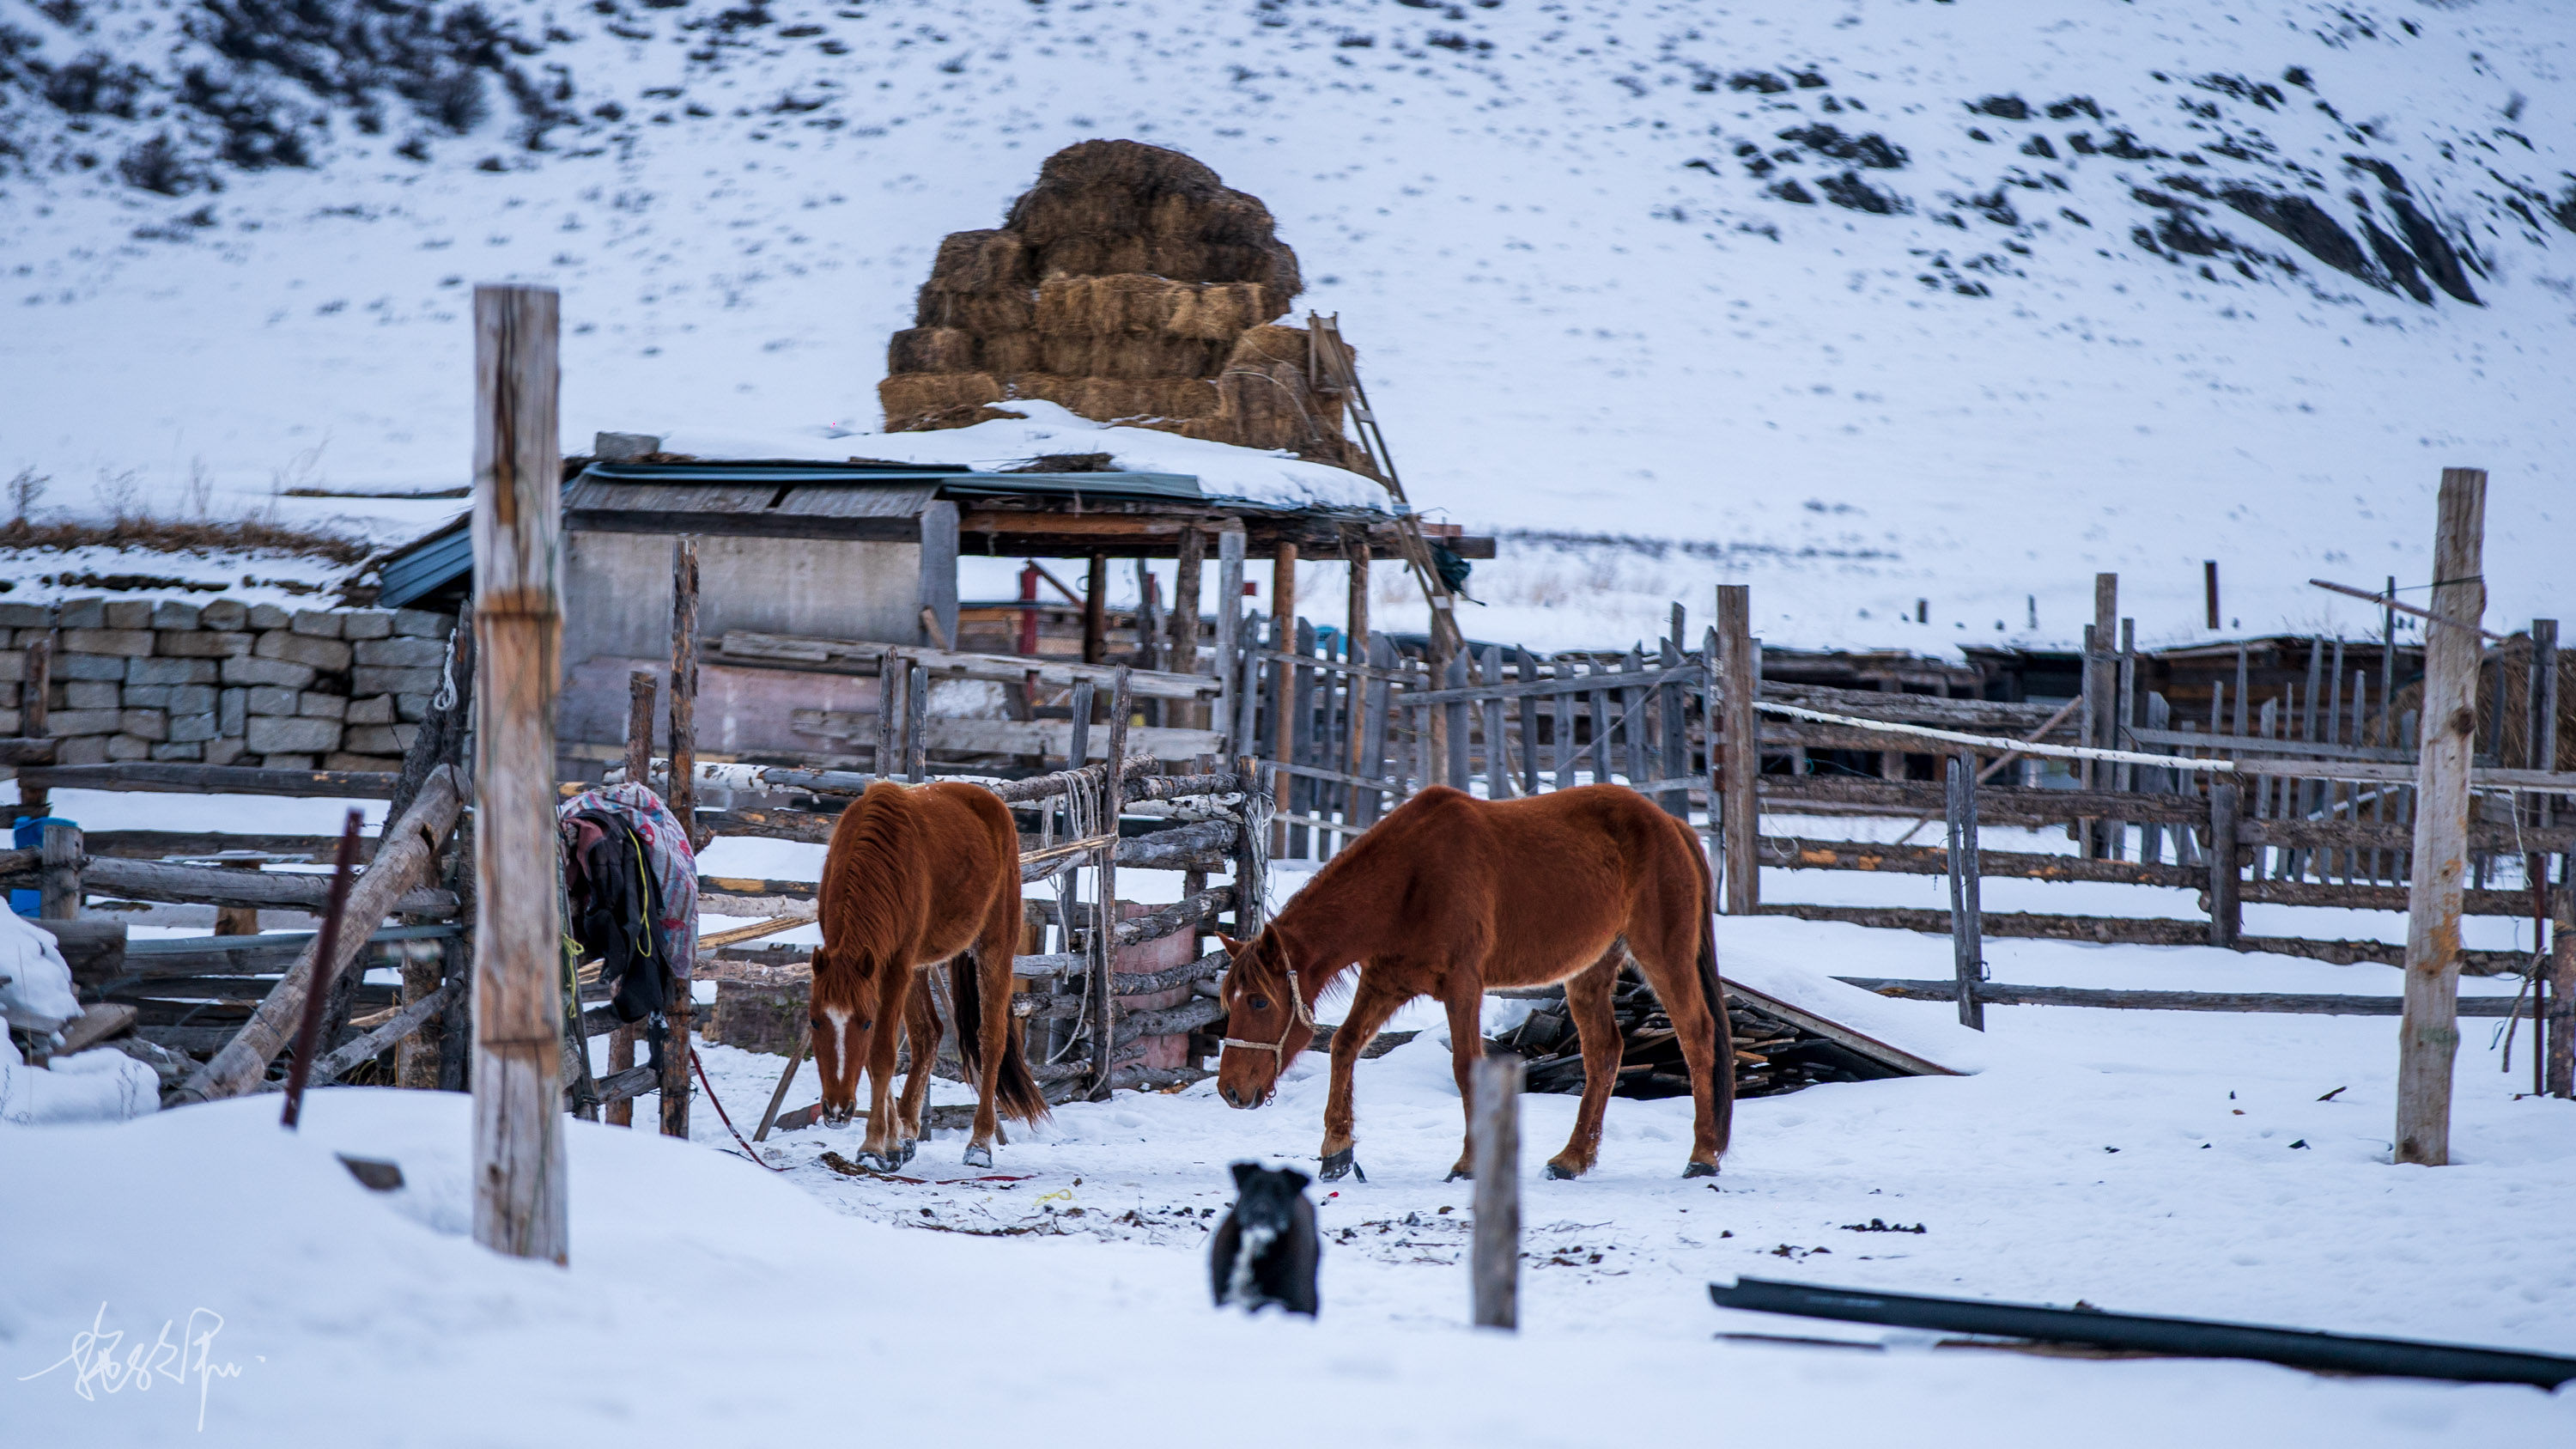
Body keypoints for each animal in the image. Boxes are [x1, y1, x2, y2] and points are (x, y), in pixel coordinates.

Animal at [809, 778, 1041, 1160]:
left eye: (865, 1023)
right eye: (814, 1022)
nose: (838, 1111)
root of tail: (989, 800)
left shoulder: (896, 967)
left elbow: (882, 1054)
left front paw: (873, 1145)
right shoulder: (881, 965)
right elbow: (880, 1055)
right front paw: (891, 1141)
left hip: (994, 946)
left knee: (991, 1038)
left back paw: (980, 1143)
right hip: (921, 965)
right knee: (929, 1034)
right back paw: (906, 1131)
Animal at [1211, 783, 1731, 1180]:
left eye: (1258, 1002)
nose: (1230, 1092)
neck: (1411, 880)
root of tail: (1673, 825)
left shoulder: (1462, 986)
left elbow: (1465, 1068)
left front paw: (1468, 1163)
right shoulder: (1385, 983)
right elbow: (1344, 1044)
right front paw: (1337, 1149)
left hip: (1664, 956)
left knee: (1697, 1035)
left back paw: (1703, 1156)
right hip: (1589, 973)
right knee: (1604, 1052)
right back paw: (1572, 1159)